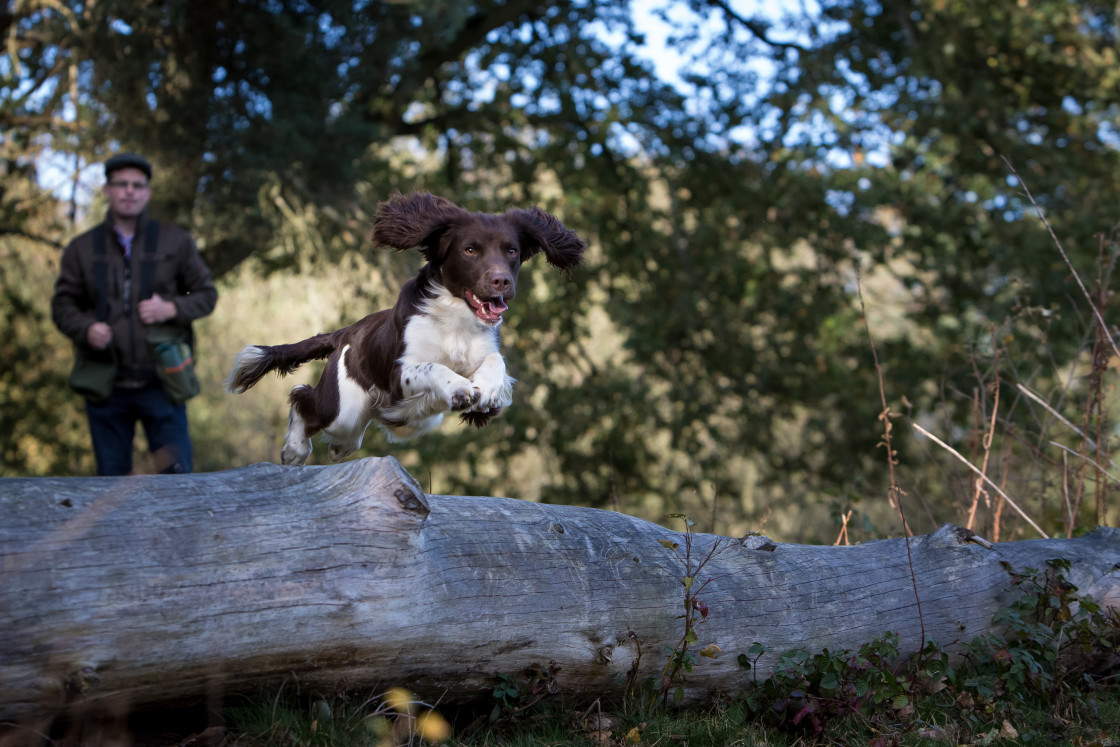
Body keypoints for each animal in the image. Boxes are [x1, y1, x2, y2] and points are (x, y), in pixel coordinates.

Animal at [225, 190, 586, 463]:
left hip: (362, 424)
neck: (455, 318)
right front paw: (459, 388)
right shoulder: (400, 374)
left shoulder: (483, 348)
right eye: (470, 250)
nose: (502, 282)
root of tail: (346, 331)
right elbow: (433, 367)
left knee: (345, 438)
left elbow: (495, 360)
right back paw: (294, 450)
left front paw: (487, 388)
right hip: (344, 408)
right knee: (303, 398)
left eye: (511, 251)